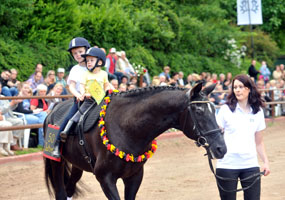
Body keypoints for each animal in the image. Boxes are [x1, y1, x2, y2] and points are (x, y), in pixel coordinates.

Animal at [43, 82, 226, 199]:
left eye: (213, 109)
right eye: (199, 111)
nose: (221, 148)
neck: (127, 127)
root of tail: (53, 110)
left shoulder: (134, 177)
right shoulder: (105, 178)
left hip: (77, 165)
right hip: (56, 163)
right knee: (61, 193)